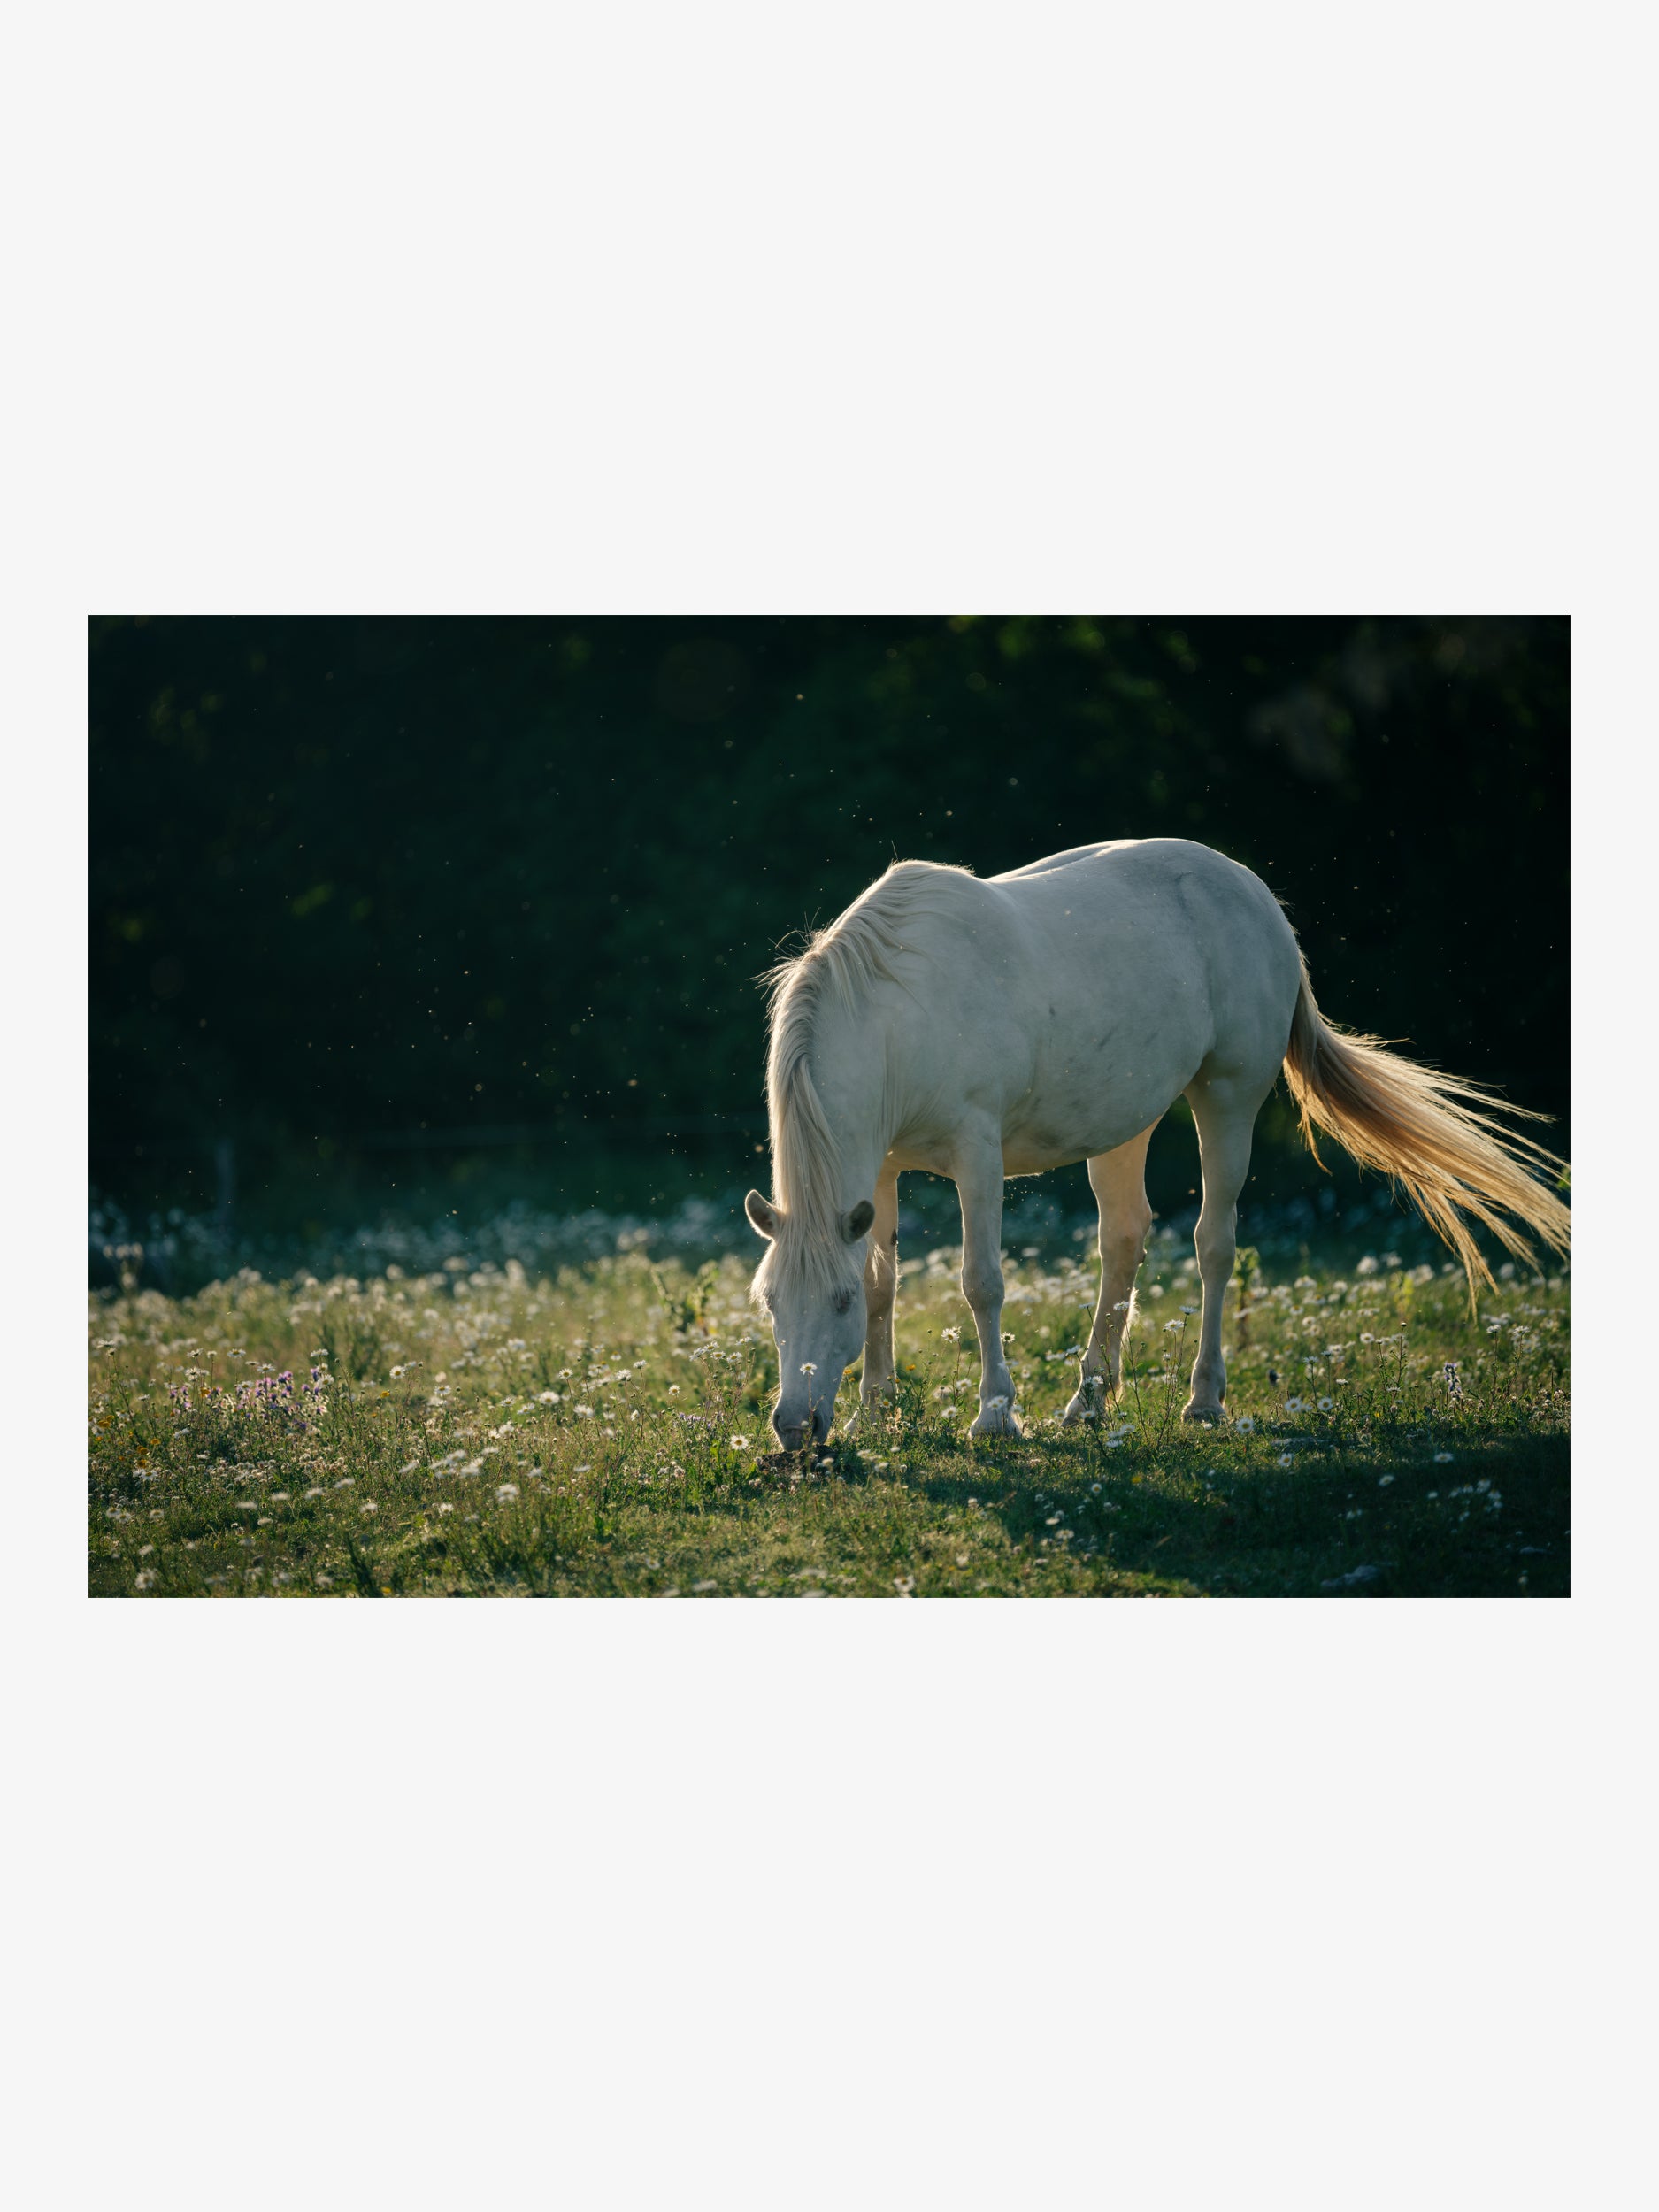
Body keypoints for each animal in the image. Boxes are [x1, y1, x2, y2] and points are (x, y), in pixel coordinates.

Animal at [743, 837, 1569, 1451]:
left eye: (833, 1302)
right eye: (769, 1303)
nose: (793, 1427)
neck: (899, 1012)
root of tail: (1253, 894)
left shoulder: (977, 1159)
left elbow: (980, 1283)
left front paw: (995, 1415)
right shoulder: (879, 1170)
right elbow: (886, 1284)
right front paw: (872, 1414)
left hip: (1227, 1100)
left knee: (1213, 1245)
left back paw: (1201, 1401)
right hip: (1125, 1122)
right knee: (1123, 1239)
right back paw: (1088, 1402)